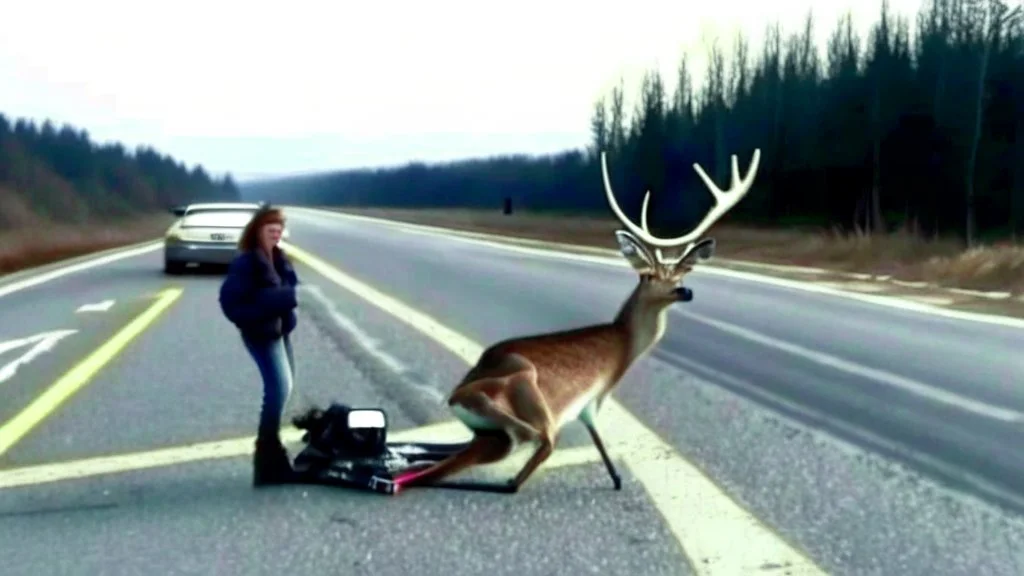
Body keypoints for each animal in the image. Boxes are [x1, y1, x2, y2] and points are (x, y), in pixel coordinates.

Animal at [391, 145, 761, 491]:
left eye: (682, 275)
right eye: (647, 276)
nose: (685, 292)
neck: (623, 343)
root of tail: (456, 396)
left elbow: (600, 445)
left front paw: (615, 477)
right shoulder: (595, 396)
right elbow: (594, 434)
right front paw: (615, 479)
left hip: (488, 429)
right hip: (524, 386)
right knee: (535, 443)